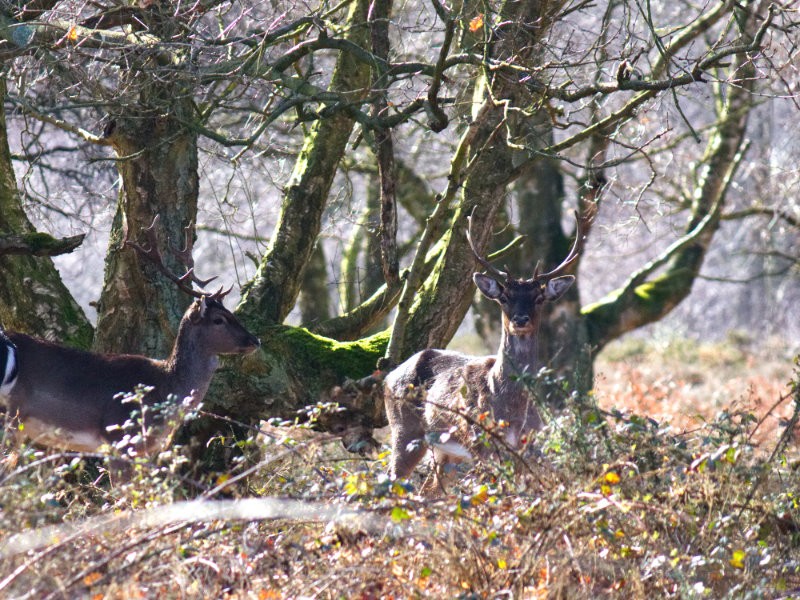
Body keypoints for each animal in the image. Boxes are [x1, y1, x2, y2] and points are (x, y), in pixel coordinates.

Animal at [0, 218, 258, 458]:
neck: (163, 387)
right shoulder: (119, 435)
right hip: (11, 418)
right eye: (219, 320)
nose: (255, 340)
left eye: (231, 313)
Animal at [382, 210, 588, 488]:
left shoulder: (527, 446)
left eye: (538, 298)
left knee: (430, 489)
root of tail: (387, 377)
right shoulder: (481, 442)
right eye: (504, 298)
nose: (520, 320)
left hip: (445, 452)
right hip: (404, 430)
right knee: (392, 478)